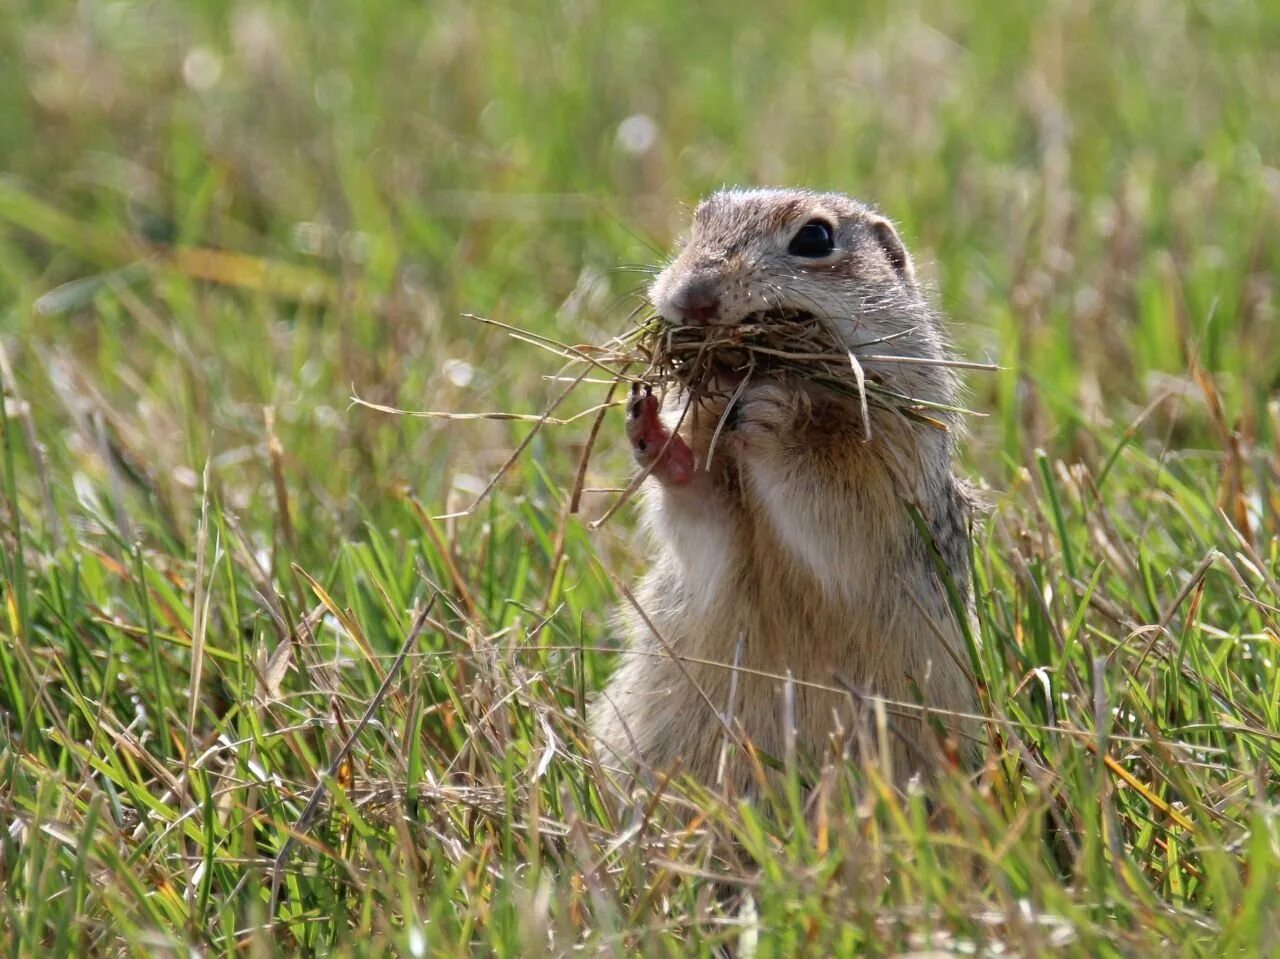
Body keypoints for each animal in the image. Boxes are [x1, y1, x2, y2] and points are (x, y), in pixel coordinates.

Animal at [591, 186, 977, 793]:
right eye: (698, 224)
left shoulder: (887, 463)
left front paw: (775, 412)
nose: (691, 297)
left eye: (815, 237)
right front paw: (649, 425)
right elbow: (700, 512)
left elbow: (832, 507)